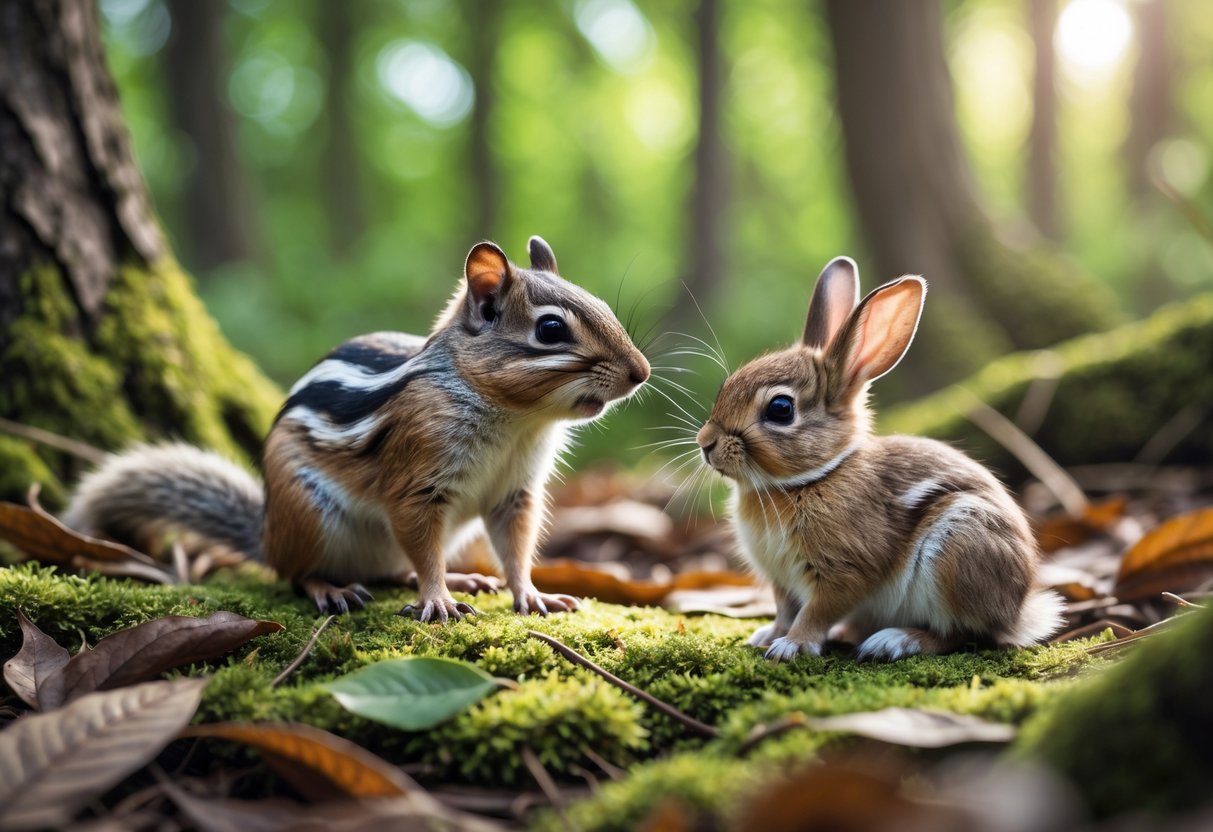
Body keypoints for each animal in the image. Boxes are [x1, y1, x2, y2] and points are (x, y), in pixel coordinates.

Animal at [63, 237, 650, 622]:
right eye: (550, 329)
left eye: (599, 302)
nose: (641, 372)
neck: (517, 421)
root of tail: (267, 534)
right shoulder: (418, 481)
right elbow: (420, 540)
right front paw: (438, 599)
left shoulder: (515, 492)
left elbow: (517, 547)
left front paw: (530, 594)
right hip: (307, 516)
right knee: (297, 572)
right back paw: (332, 589)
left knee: (391, 569)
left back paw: (460, 576)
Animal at [695, 257, 1064, 661]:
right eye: (725, 387)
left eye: (780, 408)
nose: (705, 443)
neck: (813, 478)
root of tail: (1016, 614)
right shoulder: (783, 582)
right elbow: (785, 611)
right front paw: (767, 636)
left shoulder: (843, 571)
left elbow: (816, 611)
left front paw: (792, 646)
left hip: (959, 552)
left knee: (962, 634)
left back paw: (894, 641)